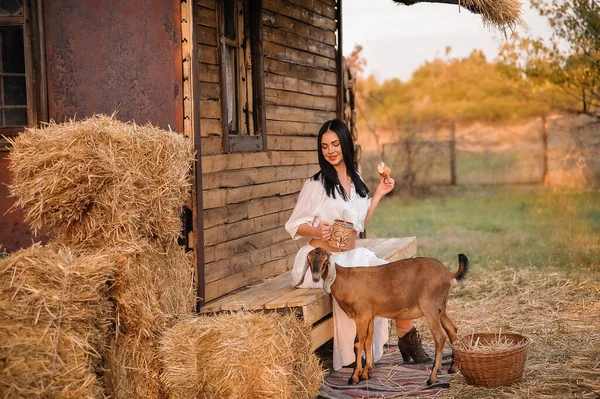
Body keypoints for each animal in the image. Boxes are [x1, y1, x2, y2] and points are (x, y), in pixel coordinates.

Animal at [304, 248, 468, 386]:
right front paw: (366, 373)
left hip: (430, 308)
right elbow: (368, 342)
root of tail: (449, 274)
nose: (316, 277)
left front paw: (354, 377)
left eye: (325, 261)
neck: (345, 279)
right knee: (452, 330)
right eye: (309, 261)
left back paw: (432, 377)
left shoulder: (362, 316)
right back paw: (452, 368)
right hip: (441, 308)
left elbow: (357, 343)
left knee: (440, 336)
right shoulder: (369, 316)